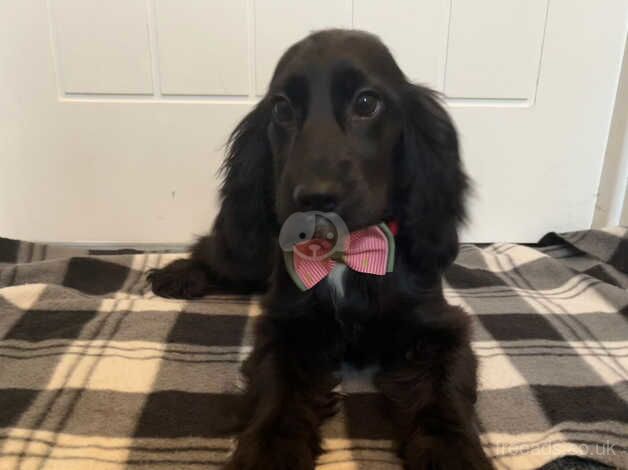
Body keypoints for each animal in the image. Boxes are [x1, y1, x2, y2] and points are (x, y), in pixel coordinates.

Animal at [150, 29, 494, 470]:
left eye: (366, 103)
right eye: (281, 108)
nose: (315, 197)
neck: (343, 256)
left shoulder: (439, 326)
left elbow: (443, 395)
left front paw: (451, 453)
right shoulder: (285, 326)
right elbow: (278, 394)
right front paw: (269, 454)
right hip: (246, 256)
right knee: (213, 250)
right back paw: (178, 275)